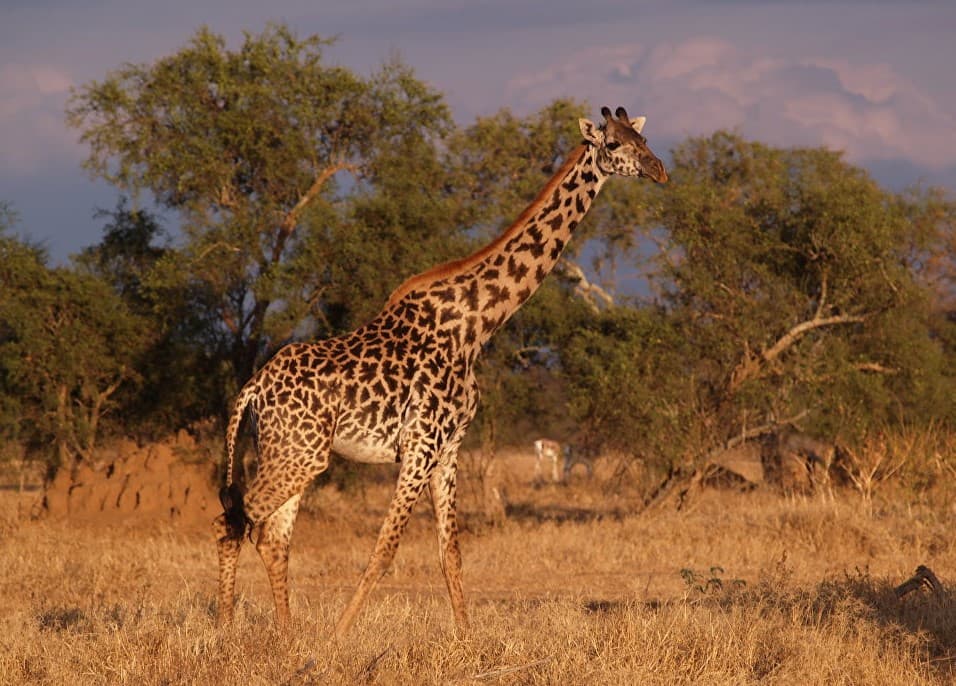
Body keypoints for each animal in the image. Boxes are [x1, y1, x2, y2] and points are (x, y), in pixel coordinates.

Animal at [213, 106, 668, 639]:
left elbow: (451, 552)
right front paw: (338, 638)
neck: (477, 324)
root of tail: (251, 389)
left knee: (270, 535)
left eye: (642, 138)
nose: (659, 169)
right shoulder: (419, 446)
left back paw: (286, 635)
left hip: (294, 454)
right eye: (613, 144)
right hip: (298, 455)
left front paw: (467, 640)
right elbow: (384, 551)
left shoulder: (449, 448)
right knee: (234, 522)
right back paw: (226, 632)